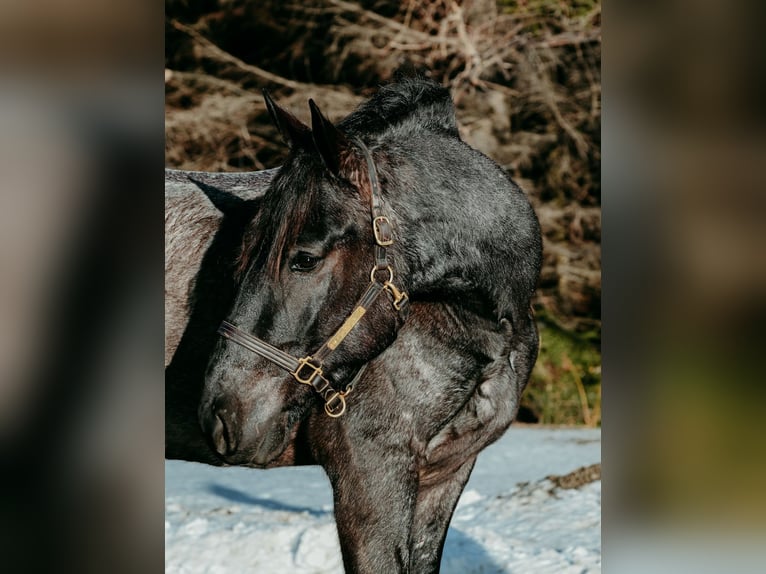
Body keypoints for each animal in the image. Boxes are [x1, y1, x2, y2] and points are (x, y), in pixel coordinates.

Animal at [167, 76, 542, 573]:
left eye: (304, 259)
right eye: (239, 254)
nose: (220, 415)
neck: (482, 326)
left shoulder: (445, 476)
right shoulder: (371, 476)